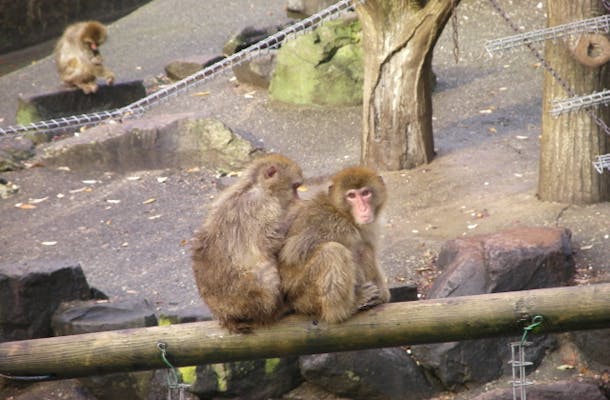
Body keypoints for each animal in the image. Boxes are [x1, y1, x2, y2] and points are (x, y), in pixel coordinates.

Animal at [191, 155, 302, 332]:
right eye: (295, 188)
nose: (299, 198)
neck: (255, 185)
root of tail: (225, 315)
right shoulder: (264, 206)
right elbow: (268, 242)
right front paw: (297, 208)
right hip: (245, 300)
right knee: (265, 275)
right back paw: (273, 313)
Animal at [276, 166, 388, 324]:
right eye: (351, 196)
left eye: (365, 193)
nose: (363, 209)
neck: (343, 214)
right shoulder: (332, 224)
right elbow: (293, 252)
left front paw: (383, 294)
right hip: (305, 297)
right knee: (333, 251)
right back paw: (344, 309)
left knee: (364, 249)